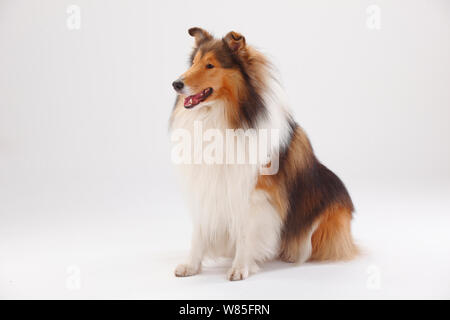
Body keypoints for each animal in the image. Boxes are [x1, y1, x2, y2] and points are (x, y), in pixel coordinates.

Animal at [169, 28, 358, 282]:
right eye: (194, 63)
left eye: (210, 65)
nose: (176, 84)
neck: (221, 116)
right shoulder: (206, 186)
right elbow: (199, 231)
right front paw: (191, 265)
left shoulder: (253, 194)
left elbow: (245, 232)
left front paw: (240, 267)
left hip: (328, 211)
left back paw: (291, 254)